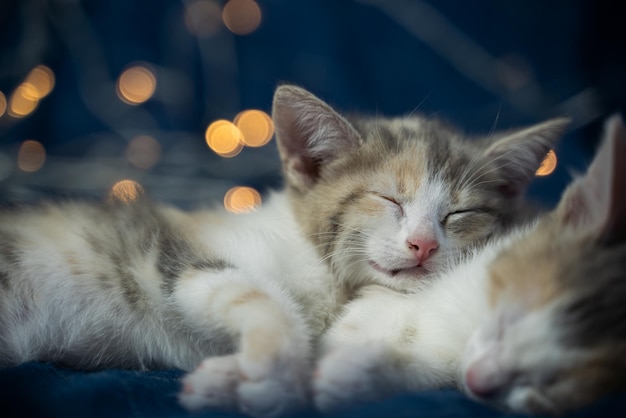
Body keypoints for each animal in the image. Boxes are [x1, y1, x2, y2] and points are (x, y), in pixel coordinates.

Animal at [0, 83, 564, 416]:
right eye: (388, 199)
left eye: (460, 214)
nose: (423, 243)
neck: (322, 271)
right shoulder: (172, 253)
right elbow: (259, 298)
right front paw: (272, 366)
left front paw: (236, 382)